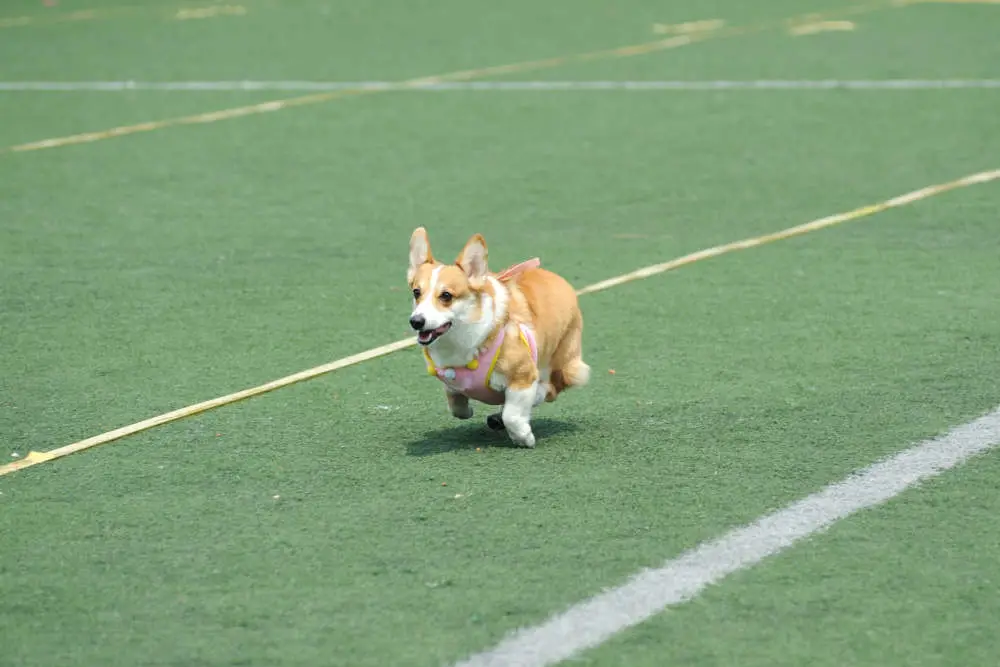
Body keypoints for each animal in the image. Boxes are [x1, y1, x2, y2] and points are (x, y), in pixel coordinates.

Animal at [406, 227, 588, 452]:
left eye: (446, 296)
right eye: (416, 292)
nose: (416, 321)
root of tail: (558, 279)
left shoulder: (523, 376)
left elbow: (512, 414)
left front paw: (523, 437)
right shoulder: (451, 381)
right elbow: (455, 403)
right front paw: (467, 410)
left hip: (562, 362)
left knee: (550, 388)